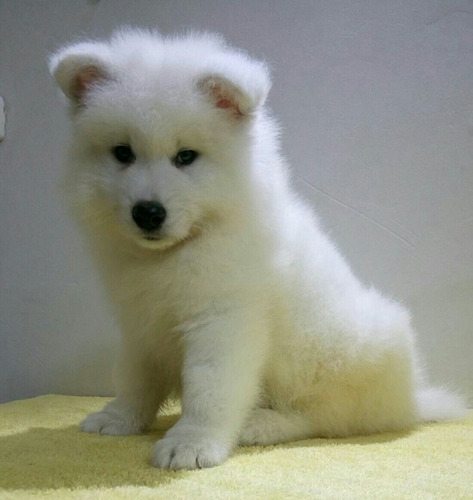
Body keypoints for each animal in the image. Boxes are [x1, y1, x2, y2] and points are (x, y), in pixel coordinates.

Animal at [48, 28, 464, 468]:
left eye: (186, 157)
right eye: (122, 153)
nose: (148, 212)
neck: (181, 248)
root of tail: (411, 401)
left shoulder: (223, 318)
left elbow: (210, 387)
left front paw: (191, 443)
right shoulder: (139, 322)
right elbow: (134, 377)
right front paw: (120, 418)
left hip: (332, 361)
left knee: (321, 418)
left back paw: (259, 425)